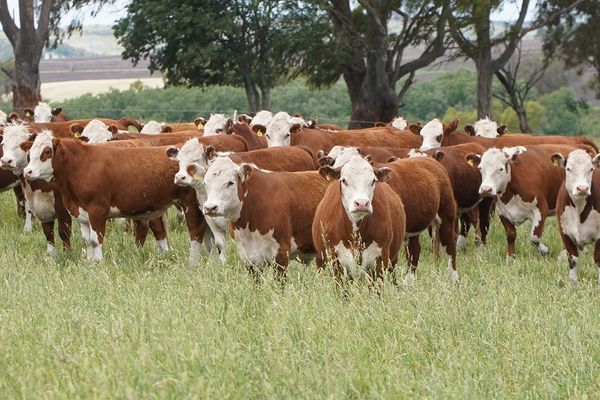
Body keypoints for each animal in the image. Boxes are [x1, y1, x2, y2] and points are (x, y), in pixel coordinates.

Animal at [22, 133, 206, 266]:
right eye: (29, 153)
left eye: (46, 152)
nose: (27, 171)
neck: (80, 166)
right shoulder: (81, 214)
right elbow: (87, 240)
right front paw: (90, 262)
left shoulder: (97, 211)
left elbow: (96, 240)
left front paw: (99, 263)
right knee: (160, 231)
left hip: (190, 203)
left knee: (195, 231)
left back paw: (192, 262)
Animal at [312, 156, 406, 284]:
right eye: (344, 180)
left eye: (373, 181)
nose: (361, 203)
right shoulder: (335, 261)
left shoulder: (381, 260)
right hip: (320, 260)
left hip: (393, 260)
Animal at [552, 148, 600, 282]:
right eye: (568, 168)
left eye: (591, 169)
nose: (582, 188)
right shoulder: (565, 233)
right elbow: (573, 259)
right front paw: (572, 283)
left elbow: (598, 259)